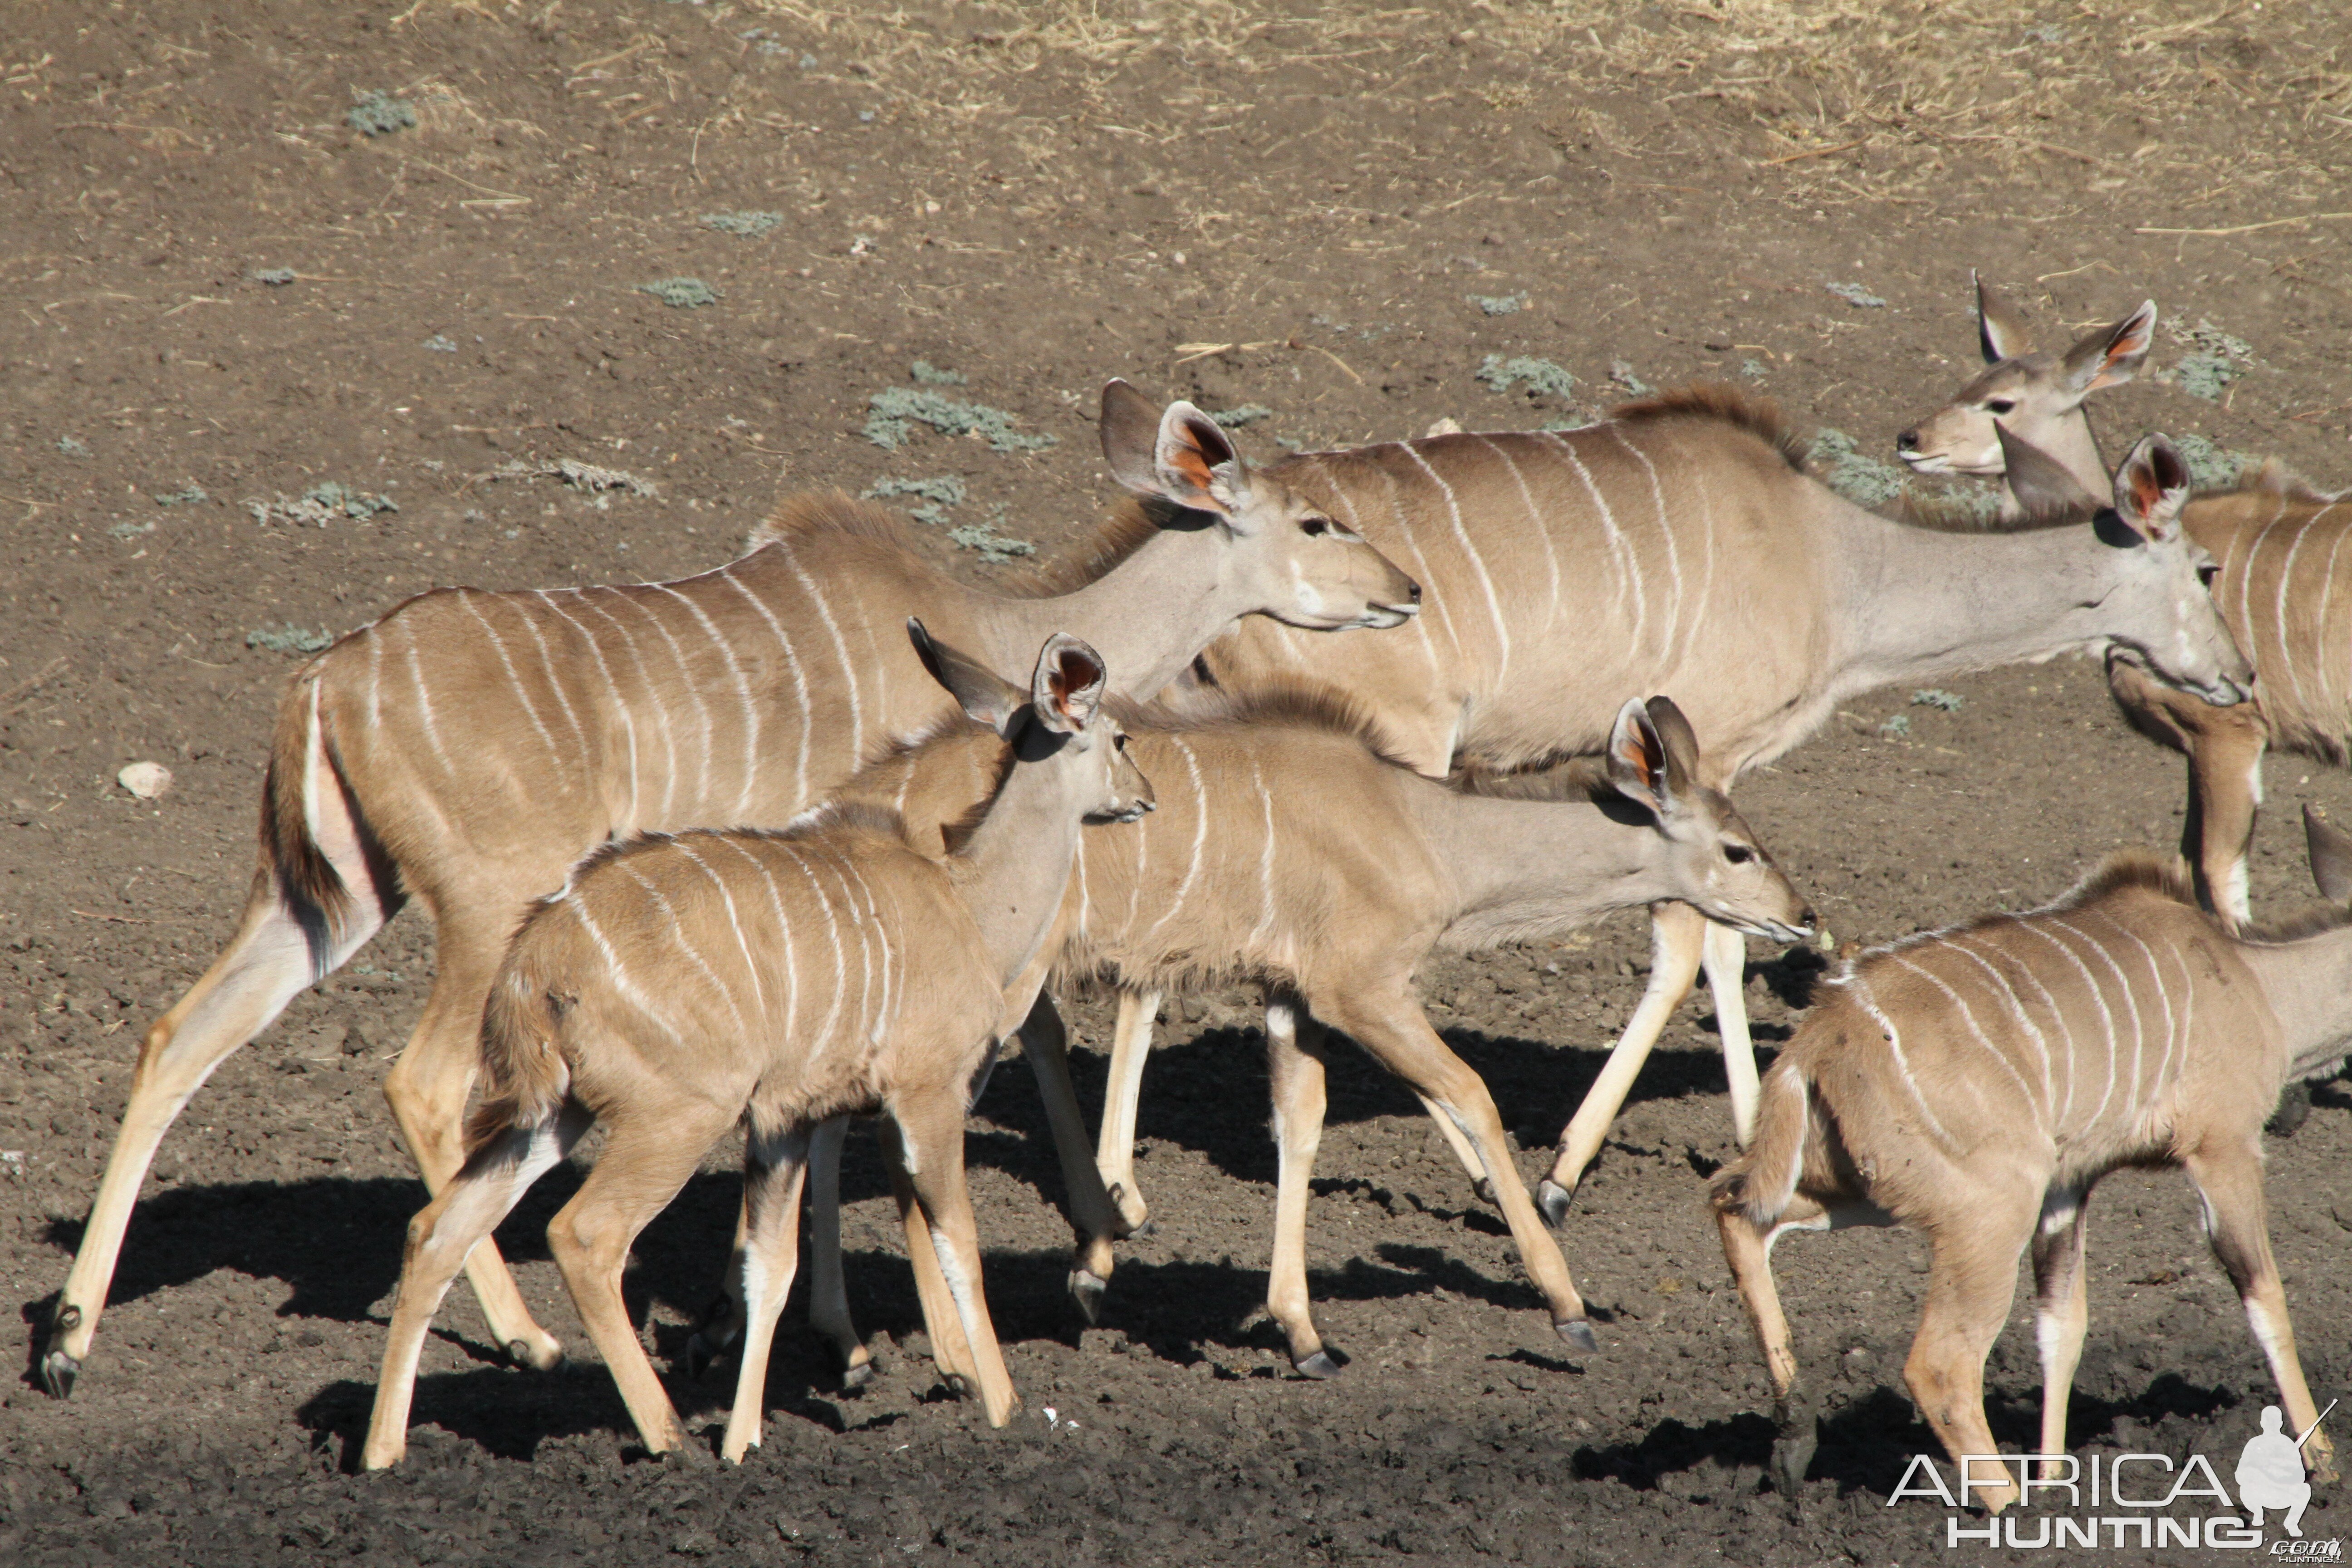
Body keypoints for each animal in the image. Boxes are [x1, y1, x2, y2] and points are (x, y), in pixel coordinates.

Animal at [355, 625, 1147, 1476]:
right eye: (1118, 737)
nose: (1144, 796)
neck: (968, 900)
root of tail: (534, 964)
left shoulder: (783, 1122)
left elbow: (770, 1267)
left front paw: (744, 1441)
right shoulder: (926, 1095)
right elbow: (957, 1241)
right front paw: (1001, 1407)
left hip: (553, 1116)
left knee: (435, 1230)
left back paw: (383, 1453)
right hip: (676, 1116)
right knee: (584, 1235)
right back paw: (666, 1434)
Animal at [1101, 381, 2239, 1222]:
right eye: (2203, 568)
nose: (2235, 677)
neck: (1832, 562)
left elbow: (1724, 943)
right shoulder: (1705, 755)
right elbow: (1692, 941)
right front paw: (1560, 1174)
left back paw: (1123, 1187)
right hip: (1397, 742)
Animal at [1712, 818, 2352, 1514]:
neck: (2258, 984)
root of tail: (1816, 1040)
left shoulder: (2068, 1185)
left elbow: (2060, 1330)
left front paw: (2053, 1481)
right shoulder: (2223, 1146)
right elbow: (2266, 1297)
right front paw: (2323, 1466)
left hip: (1859, 1191)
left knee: (1733, 1208)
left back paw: (1794, 1436)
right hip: (1990, 1208)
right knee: (1941, 1365)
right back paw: (2011, 1509)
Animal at [1900, 278, 2342, 931]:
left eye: (2000, 405)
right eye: (1967, 383)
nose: (1910, 440)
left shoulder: (2231, 731)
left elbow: (2221, 875)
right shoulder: (2192, 744)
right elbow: (2185, 864)